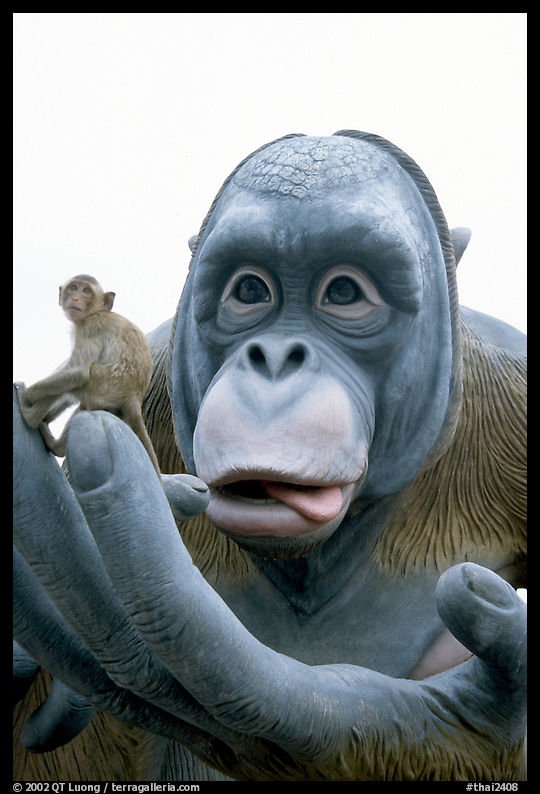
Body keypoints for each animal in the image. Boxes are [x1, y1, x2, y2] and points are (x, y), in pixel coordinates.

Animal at [18, 274, 160, 475]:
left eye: (86, 291)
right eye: (73, 288)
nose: (76, 298)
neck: (96, 312)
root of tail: (134, 397)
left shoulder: (91, 326)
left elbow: (79, 372)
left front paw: (28, 395)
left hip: (102, 385)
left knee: (82, 380)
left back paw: (35, 422)